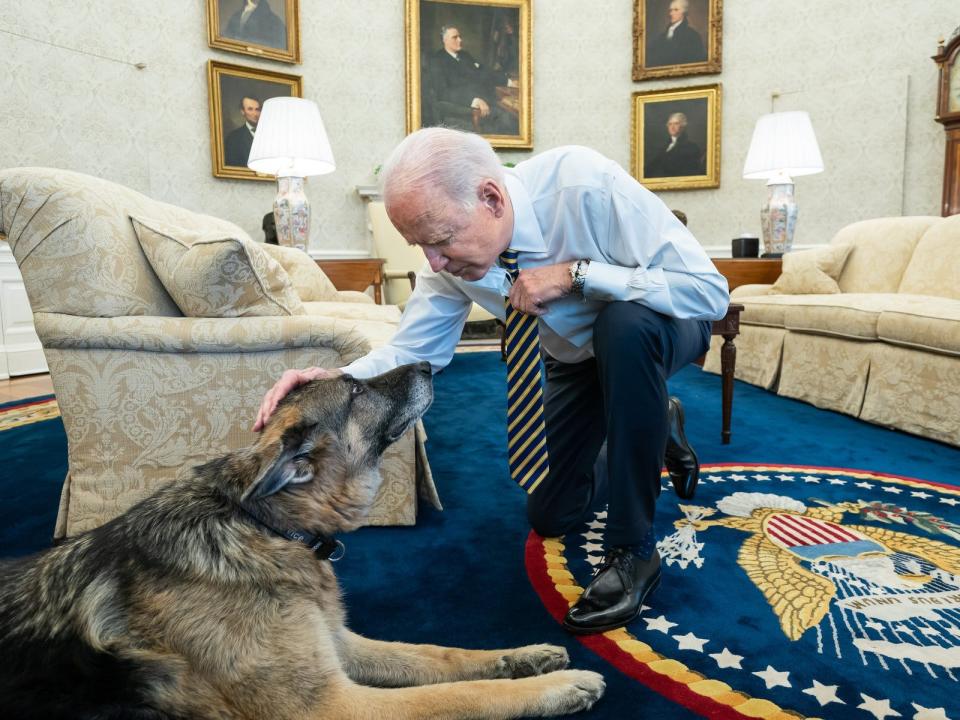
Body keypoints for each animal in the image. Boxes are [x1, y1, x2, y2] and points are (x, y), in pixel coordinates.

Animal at [0, 366, 604, 720]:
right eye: (356, 389)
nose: (429, 364)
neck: (262, 526)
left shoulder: (340, 645)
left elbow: (442, 656)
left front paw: (524, 657)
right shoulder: (333, 706)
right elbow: (454, 695)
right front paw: (557, 687)